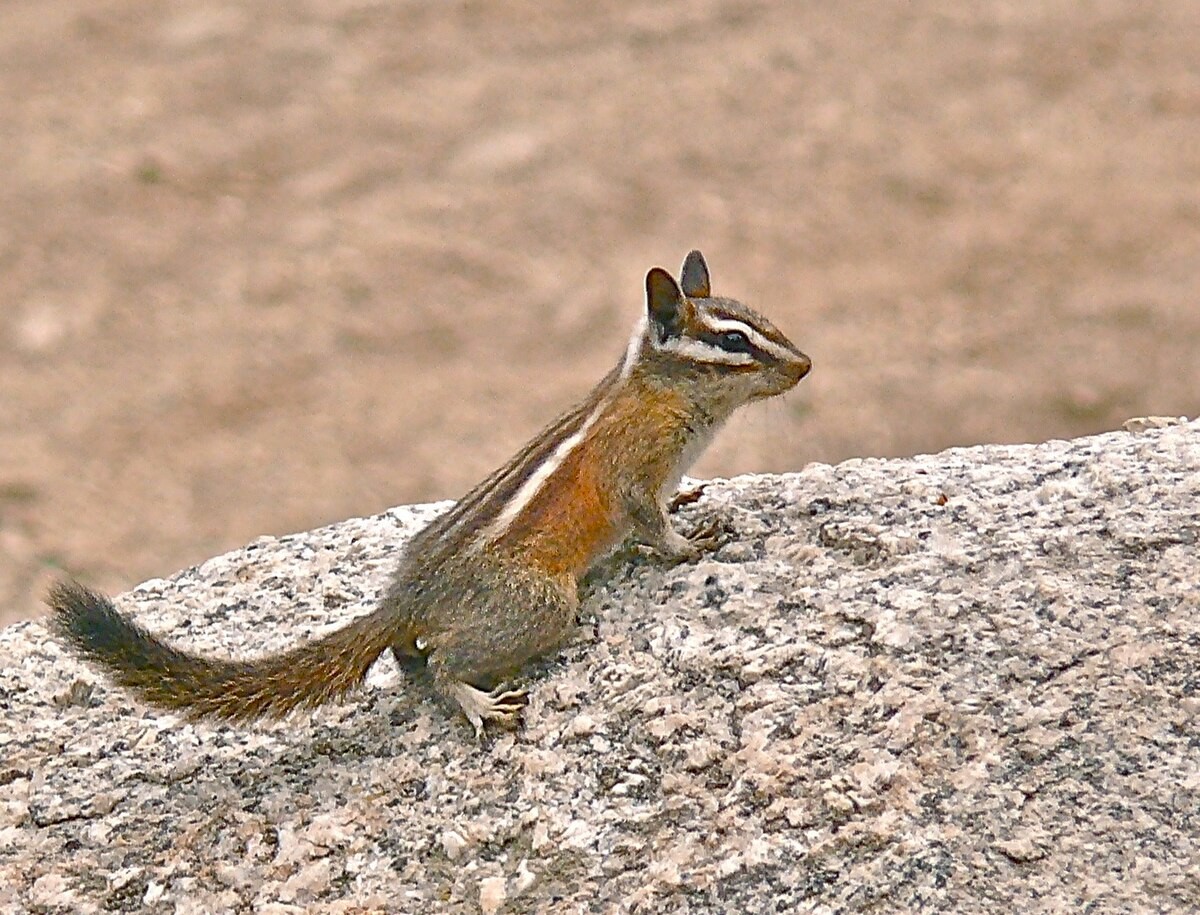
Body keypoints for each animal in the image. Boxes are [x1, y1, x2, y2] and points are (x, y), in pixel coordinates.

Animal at [48, 250, 811, 735]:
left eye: (764, 321)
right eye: (735, 342)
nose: (805, 365)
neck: (660, 392)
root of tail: (407, 597)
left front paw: (690, 503)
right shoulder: (632, 470)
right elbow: (650, 523)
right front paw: (692, 544)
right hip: (539, 604)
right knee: (444, 661)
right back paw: (476, 703)